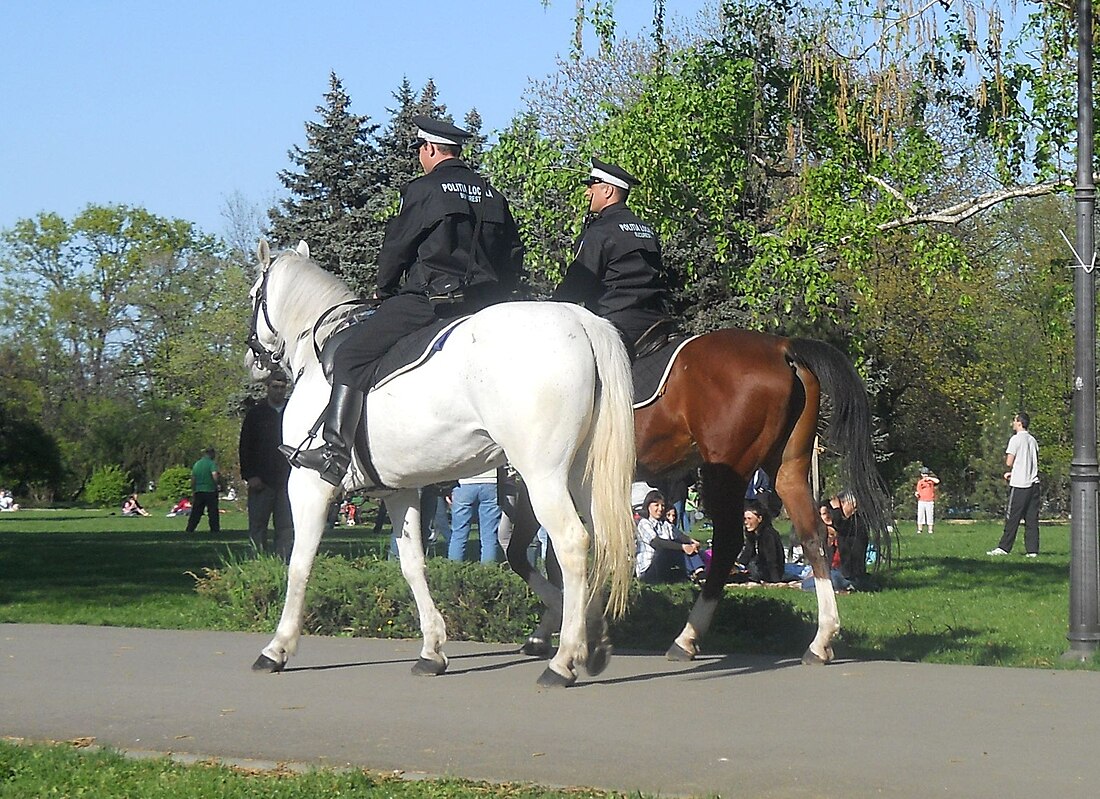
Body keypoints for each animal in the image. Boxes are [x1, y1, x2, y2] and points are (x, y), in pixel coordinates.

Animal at [245, 242, 633, 686]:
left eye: (254, 294)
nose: (251, 359)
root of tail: (580, 319)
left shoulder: (308, 484)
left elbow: (299, 564)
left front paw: (278, 647)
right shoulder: (399, 491)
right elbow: (413, 566)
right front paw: (432, 649)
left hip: (543, 476)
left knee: (572, 543)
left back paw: (564, 659)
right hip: (582, 476)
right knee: (601, 542)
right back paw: (595, 637)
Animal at [503, 327, 888, 664]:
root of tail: (780, 346)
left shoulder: (539, 478)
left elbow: (524, 554)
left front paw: (559, 625)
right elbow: (550, 558)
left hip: (726, 473)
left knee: (729, 542)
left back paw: (687, 637)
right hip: (787, 469)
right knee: (813, 536)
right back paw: (821, 640)